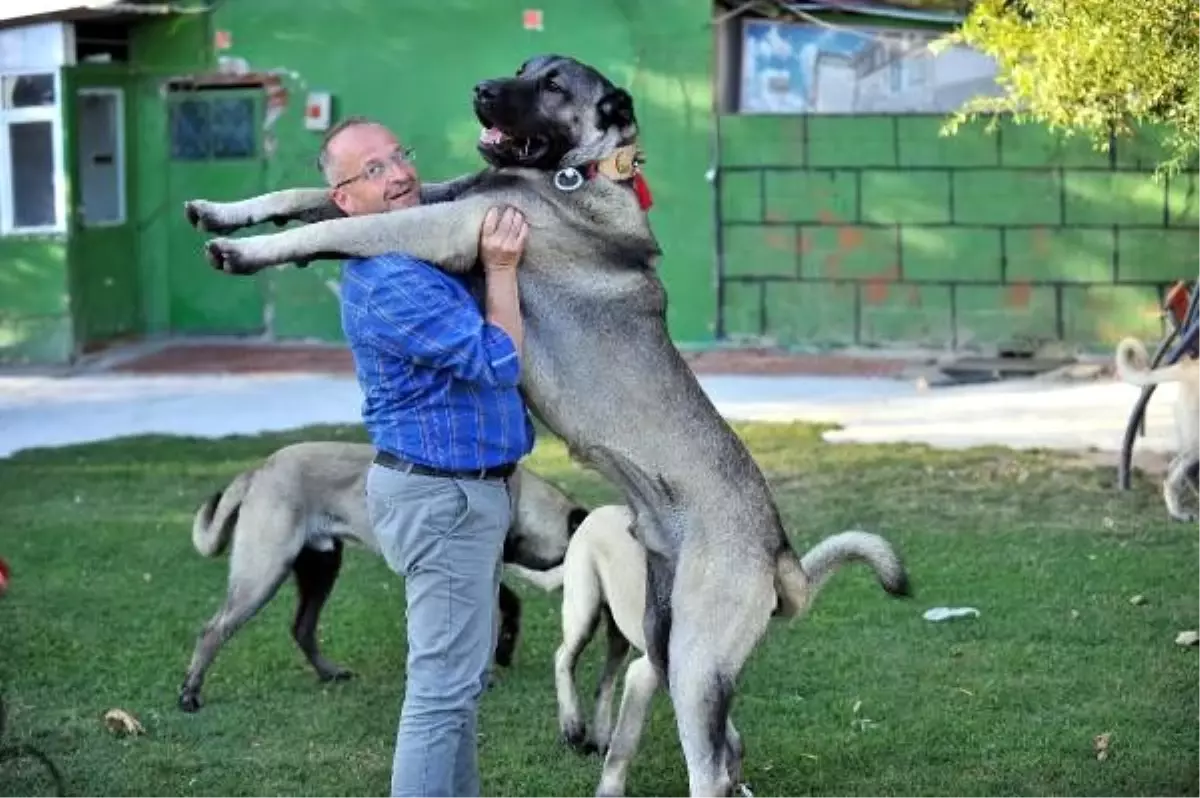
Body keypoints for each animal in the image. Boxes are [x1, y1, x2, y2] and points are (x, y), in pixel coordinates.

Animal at [506, 504, 907, 796]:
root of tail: (594, 514)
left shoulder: (705, 686)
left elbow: (730, 742)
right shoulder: (653, 677)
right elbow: (627, 745)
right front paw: (609, 790)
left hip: (618, 634)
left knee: (604, 681)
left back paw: (598, 735)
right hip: (584, 609)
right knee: (564, 657)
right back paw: (573, 725)